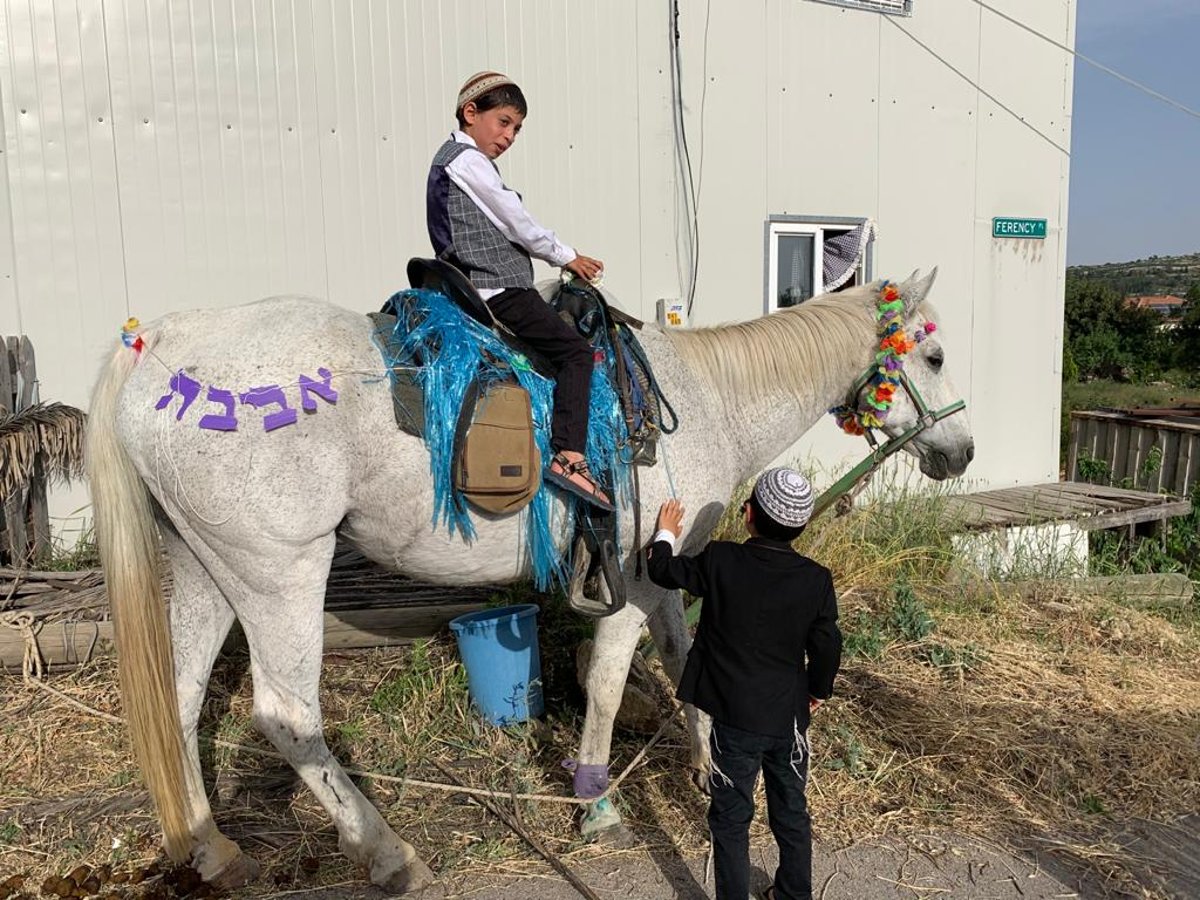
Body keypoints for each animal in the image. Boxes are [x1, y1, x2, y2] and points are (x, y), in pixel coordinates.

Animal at [88, 270, 974, 897]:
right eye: (932, 355)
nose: (961, 451)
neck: (706, 397)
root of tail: (167, 338)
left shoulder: (664, 573)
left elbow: (686, 662)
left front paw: (707, 765)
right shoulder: (630, 579)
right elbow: (611, 682)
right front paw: (596, 803)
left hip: (204, 568)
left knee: (179, 700)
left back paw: (211, 848)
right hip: (280, 575)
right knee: (288, 714)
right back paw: (387, 853)